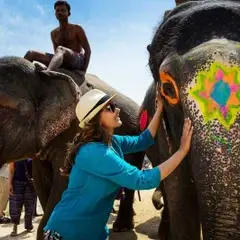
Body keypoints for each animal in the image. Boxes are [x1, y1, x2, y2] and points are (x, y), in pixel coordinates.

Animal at [0, 56, 144, 240]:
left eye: (2, 105)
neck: (45, 73)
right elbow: (40, 179)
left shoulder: (75, 130)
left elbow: (64, 182)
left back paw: (121, 228)